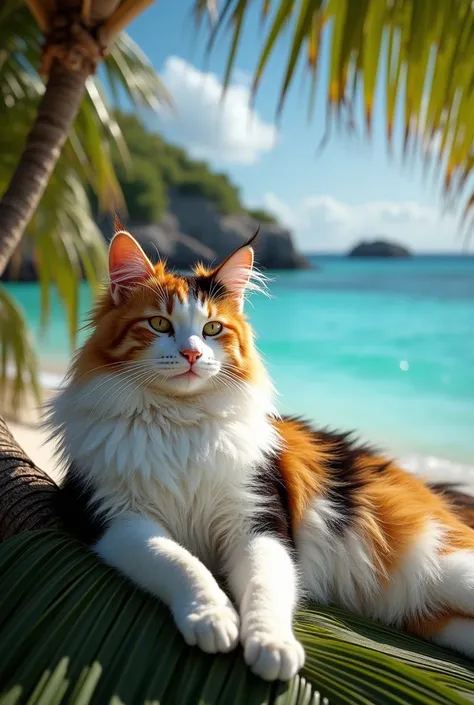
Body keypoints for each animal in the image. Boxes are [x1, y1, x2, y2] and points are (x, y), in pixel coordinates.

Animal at [47, 231, 474, 680]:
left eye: (212, 329)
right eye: (159, 324)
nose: (192, 355)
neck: (179, 422)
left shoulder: (259, 519)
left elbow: (265, 585)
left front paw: (273, 645)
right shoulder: (116, 520)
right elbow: (179, 562)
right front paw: (211, 617)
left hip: (449, 567)